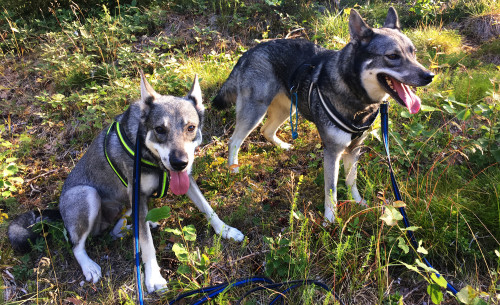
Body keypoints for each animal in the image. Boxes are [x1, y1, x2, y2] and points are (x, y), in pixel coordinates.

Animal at [9, 72, 244, 292]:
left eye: (191, 128)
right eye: (160, 129)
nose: (180, 163)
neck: (152, 159)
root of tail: (58, 210)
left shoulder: (184, 181)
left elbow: (207, 207)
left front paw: (226, 230)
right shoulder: (137, 194)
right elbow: (147, 246)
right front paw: (153, 278)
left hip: (127, 204)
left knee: (119, 230)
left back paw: (138, 226)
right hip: (88, 194)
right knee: (77, 245)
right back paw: (90, 265)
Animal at [212, 7, 434, 221]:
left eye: (413, 53)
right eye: (392, 56)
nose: (429, 76)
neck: (355, 94)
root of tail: (248, 52)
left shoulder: (353, 149)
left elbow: (351, 180)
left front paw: (358, 202)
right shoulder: (332, 152)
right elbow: (331, 190)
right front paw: (330, 218)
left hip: (287, 108)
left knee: (266, 131)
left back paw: (282, 146)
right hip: (255, 111)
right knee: (234, 140)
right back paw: (233, 168)